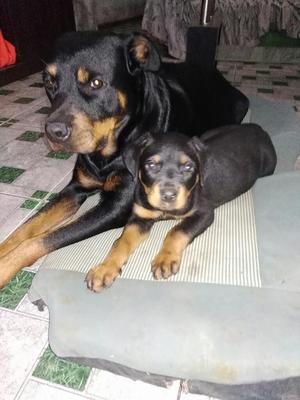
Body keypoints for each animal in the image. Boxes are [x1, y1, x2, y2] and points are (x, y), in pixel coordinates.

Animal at [0, 31, 248, 288]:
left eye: (96, 83)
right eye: (49, 83)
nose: (53, 132)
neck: (109, 150)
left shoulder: (116, 207)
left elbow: (42, 239)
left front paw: (5, 267)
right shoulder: (75, 188)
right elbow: (25, 229)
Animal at [85, 123, 276, 292]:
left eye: (188, 167)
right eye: (151, 165)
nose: (168, 195)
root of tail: (257, 128)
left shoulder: (204, 212)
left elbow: (176, 231)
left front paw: (165, 260)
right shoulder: (140, 216)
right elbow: (122, 241)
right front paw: (104, 269)